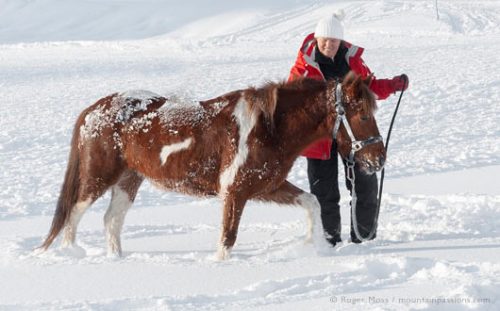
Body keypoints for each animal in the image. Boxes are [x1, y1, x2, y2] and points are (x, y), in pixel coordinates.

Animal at [41, 72, 384, 260]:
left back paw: (117, 258)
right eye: (363, 114)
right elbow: (227, 239)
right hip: (98, 176)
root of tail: (93, 110)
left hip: (129, 179)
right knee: (74, 214)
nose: (378, 158)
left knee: (112, 219)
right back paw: (72, 253)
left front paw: (316, 247)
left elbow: (312, 203)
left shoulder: (267, 186)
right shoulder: (234, 191)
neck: (268, 126)